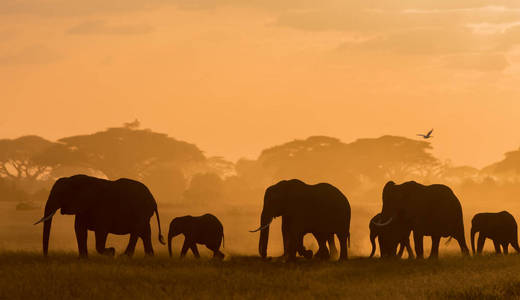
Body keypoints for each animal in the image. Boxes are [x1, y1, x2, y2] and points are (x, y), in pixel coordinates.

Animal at [34, 176, 165, 258]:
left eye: (60, 194)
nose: (46, 256)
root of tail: (154, 200)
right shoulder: (83, 208)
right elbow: (79, 230)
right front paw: (83, 258)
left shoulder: (102, 208)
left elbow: (101, 231)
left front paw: (112, 252)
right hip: (143, 214)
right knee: (145, 233)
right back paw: (149, 257)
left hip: (141, 211)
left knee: (136, 232)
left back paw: (124, 256)